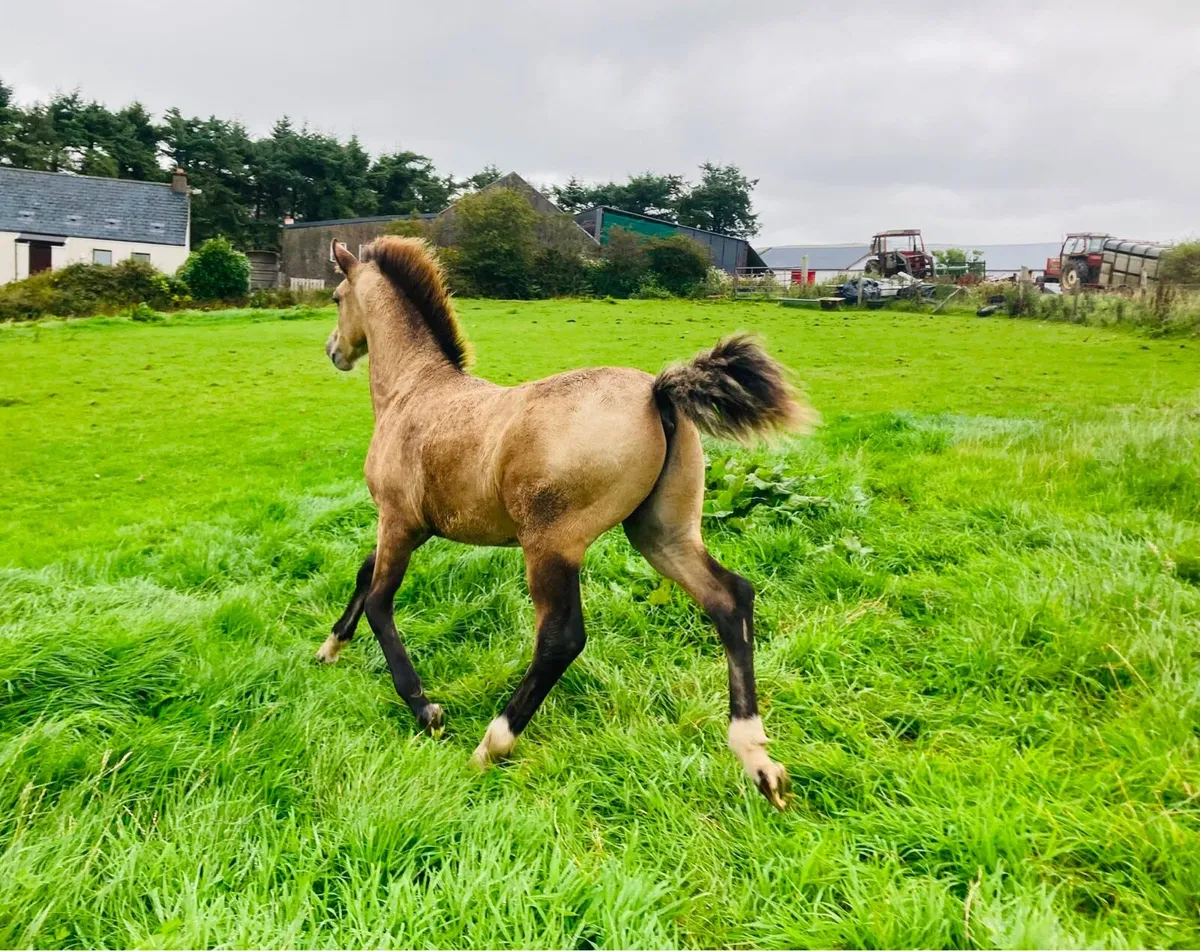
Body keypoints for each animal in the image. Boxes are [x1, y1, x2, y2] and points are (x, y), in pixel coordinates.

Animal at [315, 236, 815, 808]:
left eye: (336, 297)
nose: (334, 351)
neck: (412, 390)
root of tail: (657, 392)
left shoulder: (397, 519)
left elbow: (379, 602)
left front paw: (425, 709)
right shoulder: (411, 527)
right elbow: (364, 573)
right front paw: (329, 648)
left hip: (550, 544)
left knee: (561, 638)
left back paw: (493, 744)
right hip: (661, 535)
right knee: (730, 599)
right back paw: (758, 760)